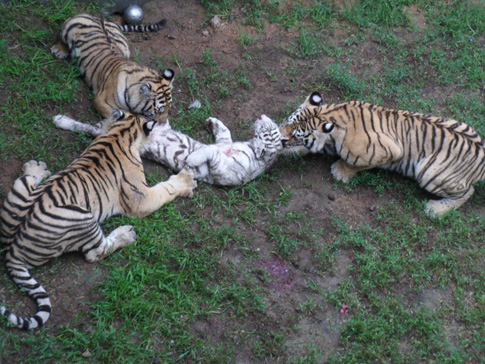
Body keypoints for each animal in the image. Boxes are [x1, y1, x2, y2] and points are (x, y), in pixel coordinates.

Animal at [0, 111, 197, 330]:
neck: (122, 131)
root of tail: (13, 249)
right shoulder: (141, 199)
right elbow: (165, 190)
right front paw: (186, 180)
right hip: (83, 217)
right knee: (94, 253)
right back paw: (126, 234)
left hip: (21, 188)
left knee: (28, 179)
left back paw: (35, 169)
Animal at [52, 114, 284, 186]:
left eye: (269, 129)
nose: (262, 116)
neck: (250, 146)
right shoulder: (224, 142)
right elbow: (223, 131)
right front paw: (212, 121)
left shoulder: (224, 169)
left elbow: (210, 153)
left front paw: (192, 158)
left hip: (105, 132)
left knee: (90, 129)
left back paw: (61, 120)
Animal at [278, 91, 484, 216]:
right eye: (288, 121)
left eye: (296, 135)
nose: (280, 137)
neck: (331, 115)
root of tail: (482, 160)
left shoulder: (389, 151)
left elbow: (353, 164)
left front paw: (340, 172)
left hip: (429, 173)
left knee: (468, 192)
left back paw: (435, 209)